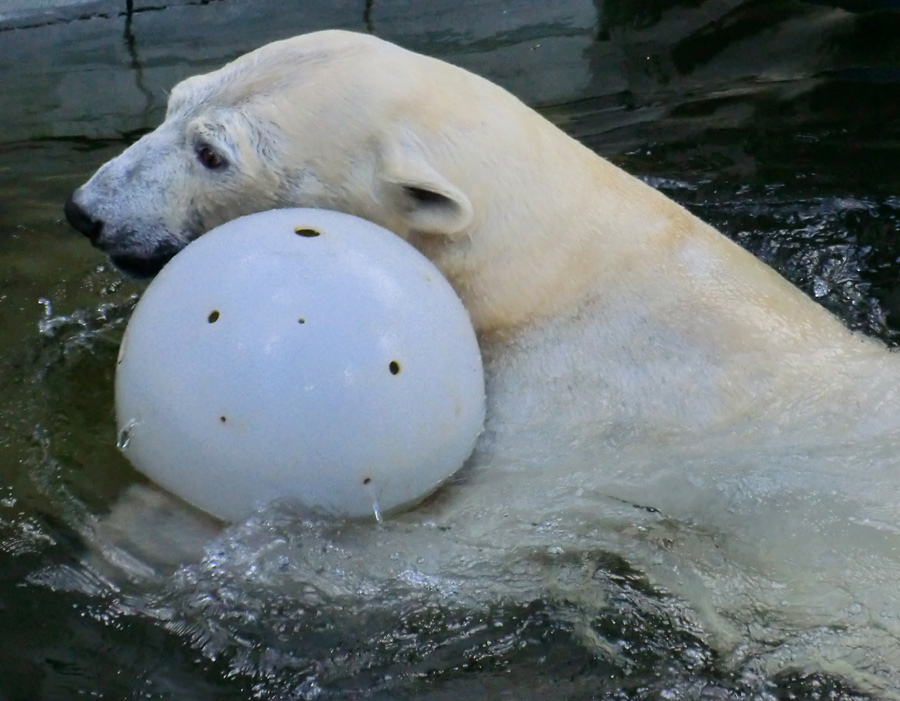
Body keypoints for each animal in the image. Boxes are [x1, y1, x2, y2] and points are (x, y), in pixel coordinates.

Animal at [67, 31, 900, 696]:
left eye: (212, 152)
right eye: (176, 99)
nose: (86, 211)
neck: (553, 265)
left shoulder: (577, 411)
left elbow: (459, 550)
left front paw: (152, 534)